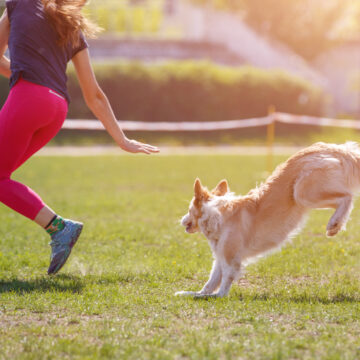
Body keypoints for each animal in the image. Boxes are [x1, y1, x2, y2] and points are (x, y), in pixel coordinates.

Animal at [176, 143, 360, 298]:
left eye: (189, 210)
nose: (182, 220)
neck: (216, 214)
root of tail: (333, 147)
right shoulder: (221, 255)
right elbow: (211, 281)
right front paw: (193, 293)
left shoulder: (231, 258)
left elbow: (225, 282)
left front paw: (217, 296)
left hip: (303, 193)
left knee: (347, 196)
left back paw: (334, 224)